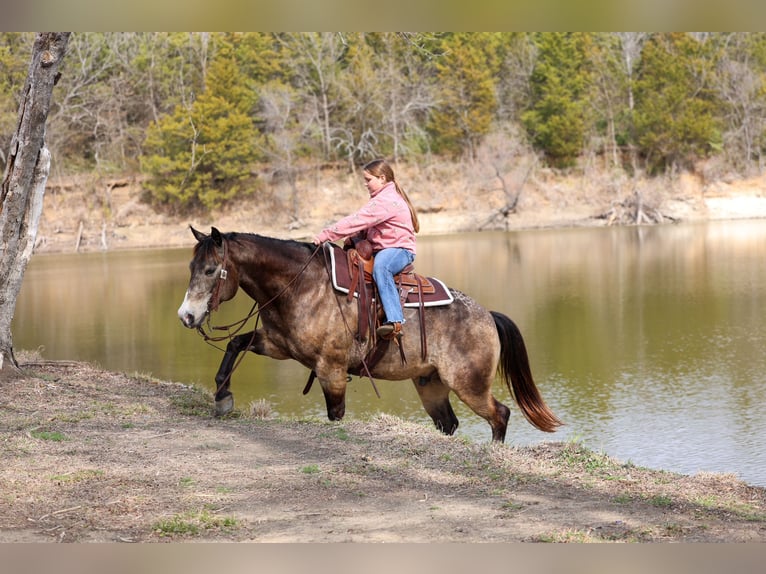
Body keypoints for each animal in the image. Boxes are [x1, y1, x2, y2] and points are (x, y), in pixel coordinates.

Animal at [177, 227, 562, 442]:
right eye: (192, 266)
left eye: (210, 269)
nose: (186, 316)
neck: (300, 285)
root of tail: (487, 316)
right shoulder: (276, 345)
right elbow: (234, 343)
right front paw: (222, 397)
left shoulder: (330, 370)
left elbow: (336, 415)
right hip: (431, 385)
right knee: (449, 423)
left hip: (469, 385)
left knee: (500, 414)